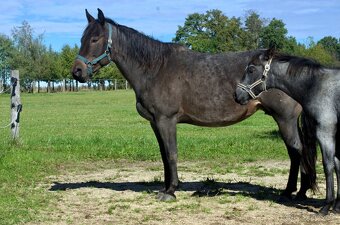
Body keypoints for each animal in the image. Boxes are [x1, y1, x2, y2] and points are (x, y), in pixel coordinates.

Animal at [71, 9, 316, 202]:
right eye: (82, 38)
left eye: (95, 39)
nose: (77, 72)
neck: (155, 69)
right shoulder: (155, 123)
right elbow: (164, 155)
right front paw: (166, 187)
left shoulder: (166, 120)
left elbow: (171, 154)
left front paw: (171, 191)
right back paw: (299, 191)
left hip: (284, 119)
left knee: (296, 151)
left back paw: (290, 191)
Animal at [235, 47, 340, 214]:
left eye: (251, 70)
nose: (237, 95)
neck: (316, 86)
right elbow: (337, 164)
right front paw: (336, 206)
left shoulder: (325, 131)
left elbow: (328, 165)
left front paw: (326, 206)